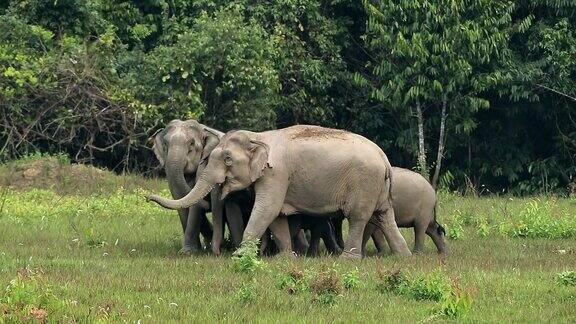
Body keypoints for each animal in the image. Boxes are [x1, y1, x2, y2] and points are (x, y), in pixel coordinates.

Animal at [146, 124, 412, 258]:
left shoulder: (276, 174)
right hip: (378, 188)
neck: (258, 136)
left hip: (364, 183)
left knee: (358, 217)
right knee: (384, 217)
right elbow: (277, 216)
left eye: (228, 159)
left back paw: (349, 259)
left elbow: (267, 209)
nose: (147, 197)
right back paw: (404, 256)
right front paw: (285, 258)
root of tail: (384, 158)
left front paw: (241, 257)